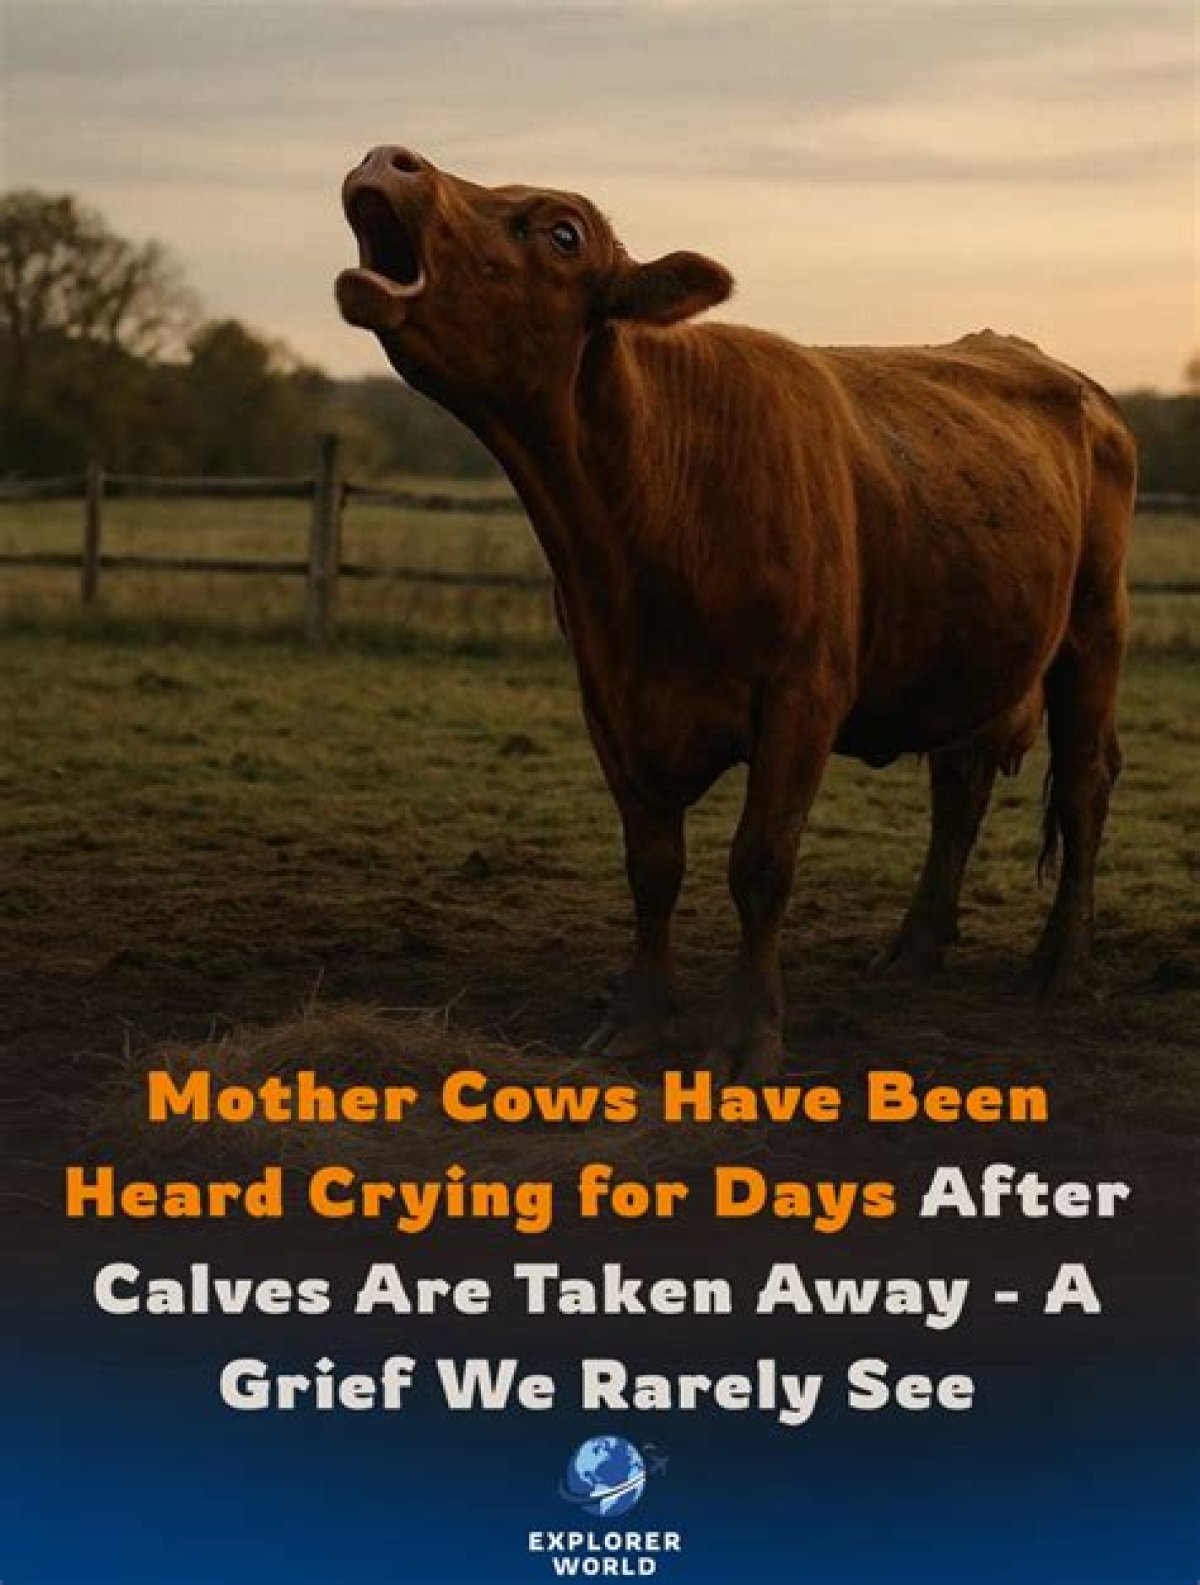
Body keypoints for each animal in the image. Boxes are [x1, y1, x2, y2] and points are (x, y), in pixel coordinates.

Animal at [335, 146, 1135, 1080]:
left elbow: (760, 863)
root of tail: (1076, 382)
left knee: (1083, 785)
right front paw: (639, 1018)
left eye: (564, 232)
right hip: (969, 649)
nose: (393, 160)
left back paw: (1062, 965)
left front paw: (750, 1036)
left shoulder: (802, 695)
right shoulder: (609, 697)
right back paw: (913, 951)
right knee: (959, 784)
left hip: (1093, 628)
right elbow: (652, 866)